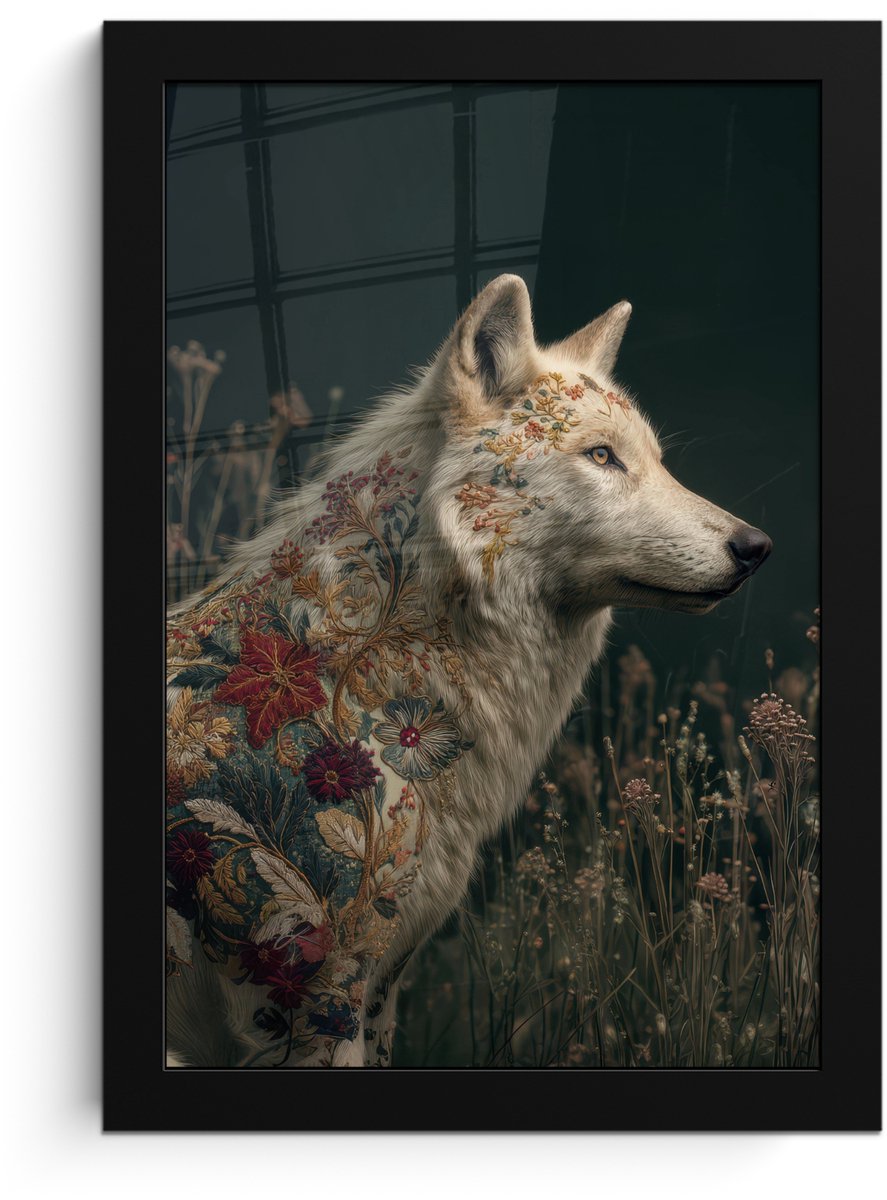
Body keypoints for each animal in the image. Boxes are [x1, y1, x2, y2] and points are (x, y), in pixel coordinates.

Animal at [165, 275, 771, 1068]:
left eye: (656, 460)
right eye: (601, 456)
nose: (756, 546)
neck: (347, 675)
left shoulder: (380, 991)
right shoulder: (318, 1000)